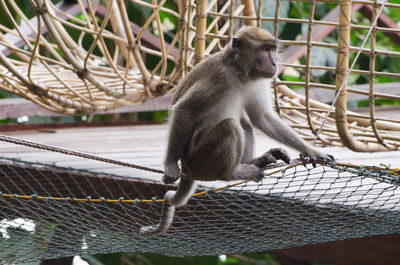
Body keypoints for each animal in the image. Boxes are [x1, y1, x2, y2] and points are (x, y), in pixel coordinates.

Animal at [139, 26, 332, 235]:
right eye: (264, 50)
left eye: (272, 49)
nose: (273, 63)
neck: (239, 71)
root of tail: (187, 167)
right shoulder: (220, 78)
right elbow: (185, 110)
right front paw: (170, 166)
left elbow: (262, 118)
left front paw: (312, 151)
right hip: (198, 156)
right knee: (229, 126)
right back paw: (230, 173)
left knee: (244, 123)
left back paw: (254, 161)